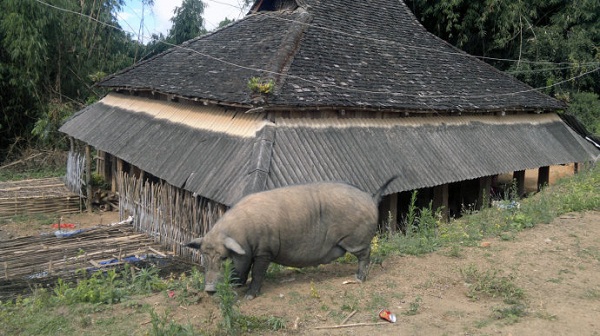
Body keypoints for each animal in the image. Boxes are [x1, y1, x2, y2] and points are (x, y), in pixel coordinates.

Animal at [185, 176, 396, 300]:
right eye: (204, 257)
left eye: (224, 258)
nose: (209, 289)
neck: (244, 236)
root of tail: (370, 197)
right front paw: (239, 285)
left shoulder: (265, 251)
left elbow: (258, 273)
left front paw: (248, 297)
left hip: (355, 239)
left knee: (365, 254)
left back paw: (359, 279)